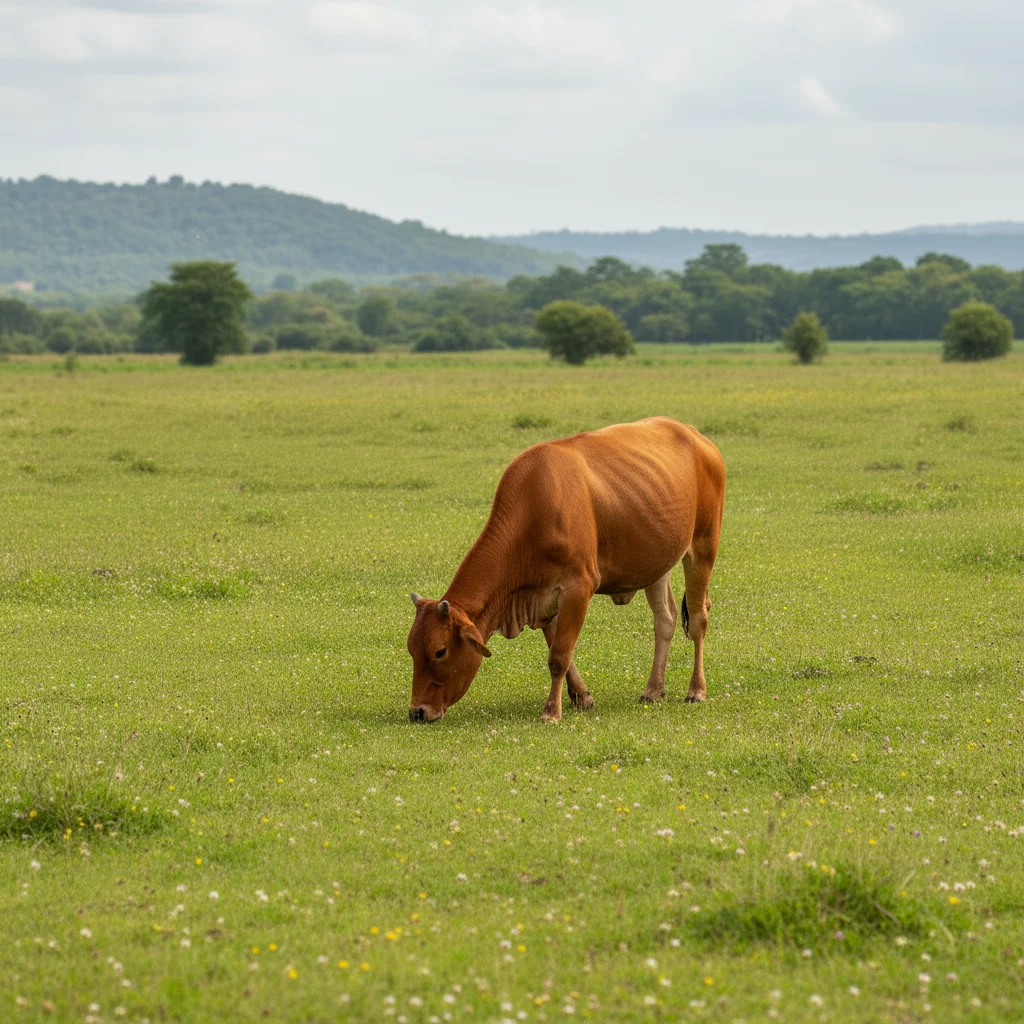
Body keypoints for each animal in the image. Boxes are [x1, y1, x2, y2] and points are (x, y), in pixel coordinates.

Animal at [407, 416, 725, 723]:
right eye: (411, 649)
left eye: (440, 651)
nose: (417, 712)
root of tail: (695, 434)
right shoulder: (543, 599)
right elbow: (560, 651)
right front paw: (581, 697)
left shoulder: (577, 589)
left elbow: (559, 656)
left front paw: (551, 711)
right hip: (656, 563)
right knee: (665, 620)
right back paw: (653, 689)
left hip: (703, 546)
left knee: (698, 619)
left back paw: (696, 690)